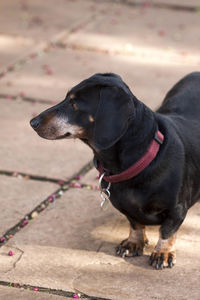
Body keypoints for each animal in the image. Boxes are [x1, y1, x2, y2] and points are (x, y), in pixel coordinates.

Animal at [29, 72, 200, 270]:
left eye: (74, 104)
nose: (32, 122)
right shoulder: (127, 208)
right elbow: (135, 224)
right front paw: (134, 243)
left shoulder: (176, 210)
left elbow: (167, 231)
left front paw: (162, 253)